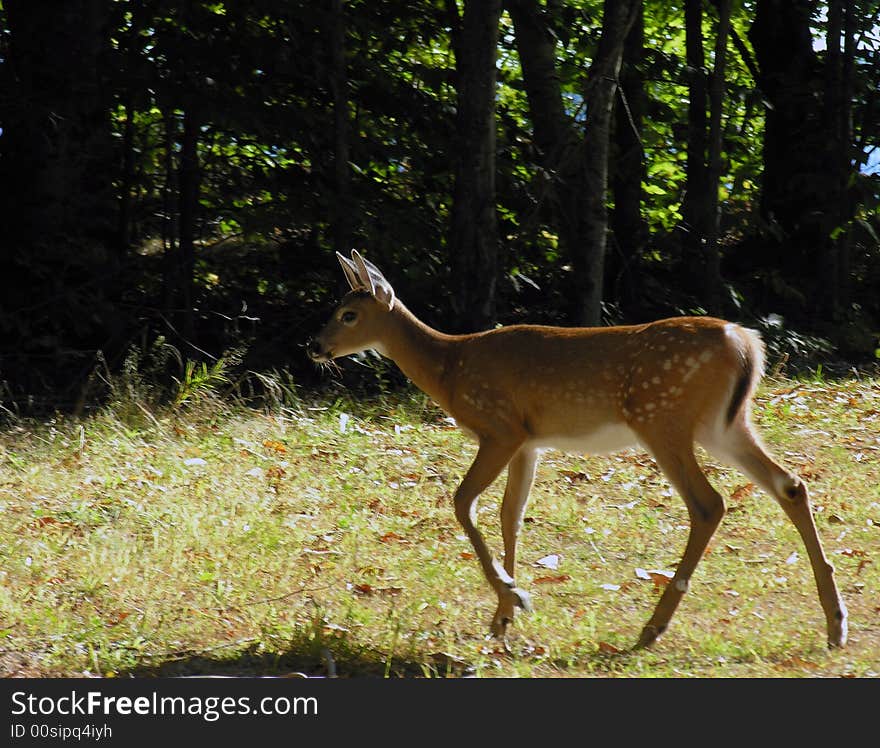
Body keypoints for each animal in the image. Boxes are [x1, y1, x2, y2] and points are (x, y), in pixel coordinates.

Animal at [308, 251, 844, 648]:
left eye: (348, 314)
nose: (314, 346)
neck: (450, 368)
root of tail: (746, 342)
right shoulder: (529, 442)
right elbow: (511, 516)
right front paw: (504, 617)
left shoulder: (499, 427)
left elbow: (463, 503)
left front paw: (513, 599)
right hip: (724, 424)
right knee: (789, 484)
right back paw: (835, 622)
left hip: (662, 417)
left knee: (709, 503)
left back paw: (652, 628)